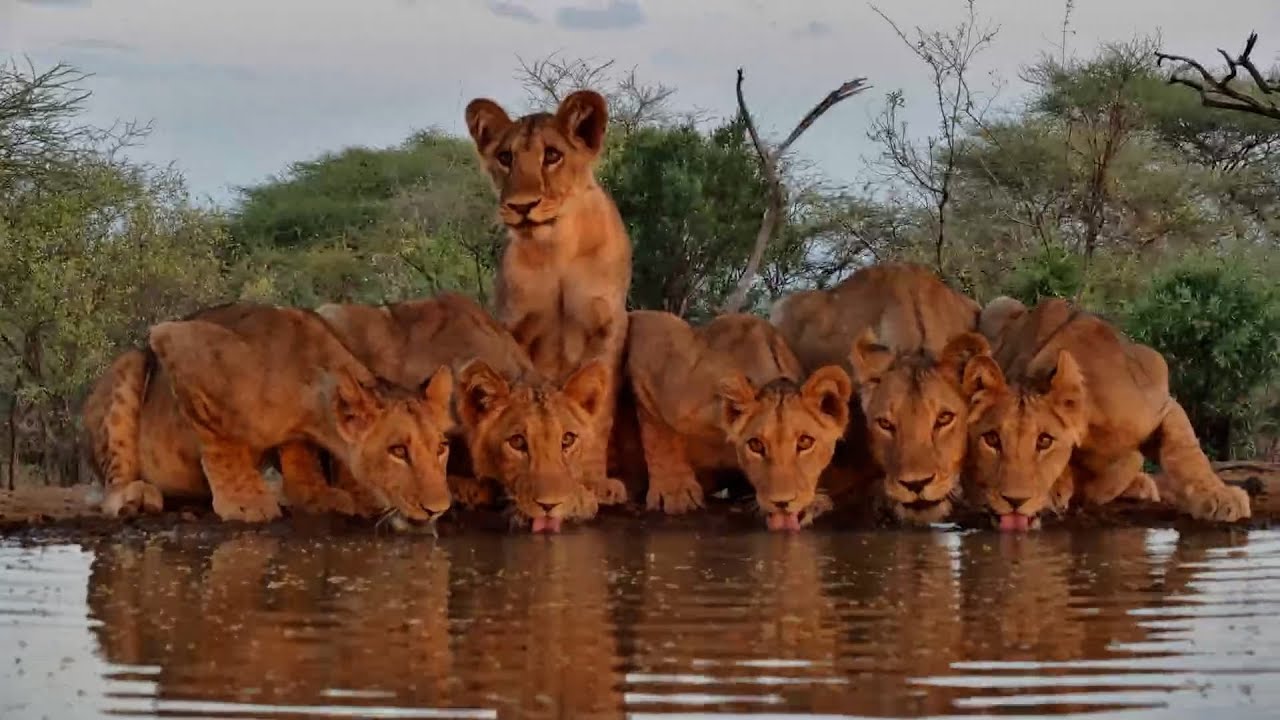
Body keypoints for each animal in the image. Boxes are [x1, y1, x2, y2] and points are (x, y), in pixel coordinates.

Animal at [81, 303, 455, 524]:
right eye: (398, 451)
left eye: (441, 448)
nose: (438, 509)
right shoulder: (177, 339)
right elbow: (220, 440)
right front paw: (245, 502)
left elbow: (299, 452)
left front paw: (315, 494)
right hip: (131, 362)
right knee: (111, 490)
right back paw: (136, 498)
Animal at [465, 89, 632, 510]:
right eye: (505, 157)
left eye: (552, 155)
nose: (521, 206)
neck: (556, 246)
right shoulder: (512, 327)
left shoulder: (608, 324)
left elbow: (598, 412)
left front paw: (595, 483)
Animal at [626, 311, 853, 530]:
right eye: (756, 445)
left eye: (805, 442)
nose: (782, 502)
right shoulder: (653, 341)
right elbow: (657, 431)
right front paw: (675, 491)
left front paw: (817, 503)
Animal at [965, 296, 1252, 530]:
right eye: (991, 440)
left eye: (1044, 441)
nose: (1012, 499)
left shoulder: (1161, 403)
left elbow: (1186, 451)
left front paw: (1221, 498)